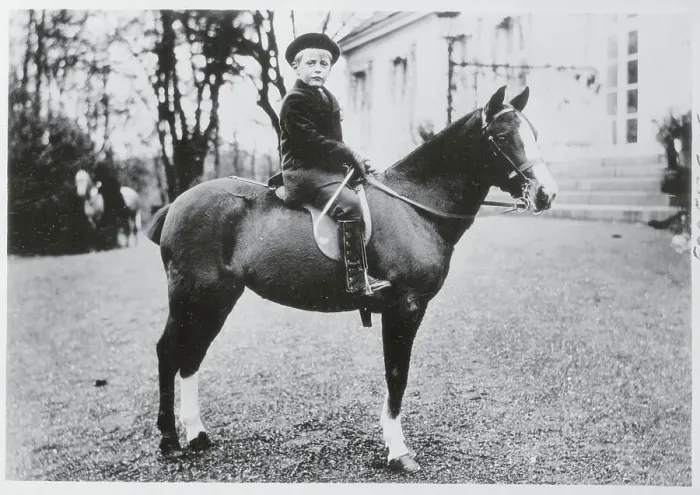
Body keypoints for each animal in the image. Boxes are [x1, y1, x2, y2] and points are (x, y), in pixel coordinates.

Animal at [145, 86, 558, 473]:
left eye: (535, 133)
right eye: (502, 136)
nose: (546, 193)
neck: (415, 206)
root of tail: (178, 202)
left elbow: (395, 376)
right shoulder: (404, 307)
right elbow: (397, 375)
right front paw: (397, 451)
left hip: (216, 300)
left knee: (192, 355)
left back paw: (197, 434)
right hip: (193, 296)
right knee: (169, 352)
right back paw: (170, 441)